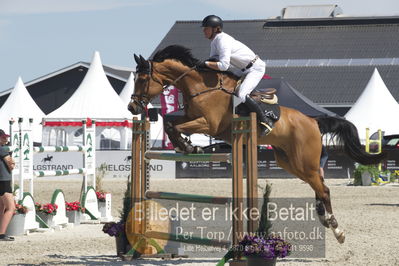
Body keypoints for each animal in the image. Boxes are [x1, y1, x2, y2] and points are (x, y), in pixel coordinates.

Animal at [128, 44, 384, 244]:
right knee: (318, 185)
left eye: (143, 79)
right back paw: (325, 219)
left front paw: (188, 146)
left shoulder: (209, 124)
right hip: (290, 162)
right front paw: (188, 146)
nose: (133, 108)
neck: (200, 87)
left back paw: (336, 228)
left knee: (324, 188)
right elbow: (170, 122)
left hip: (304, 160)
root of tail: (313, 120)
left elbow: (175, 125)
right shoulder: (191, 118)